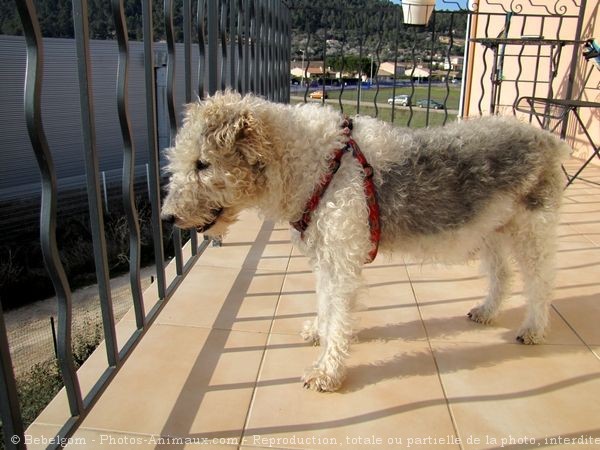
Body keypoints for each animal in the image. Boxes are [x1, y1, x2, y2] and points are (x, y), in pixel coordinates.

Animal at [162, 90, 568, 390]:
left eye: (202, 163)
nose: (168, 218)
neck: (313, 164)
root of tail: (549, 139)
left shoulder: (342, 258)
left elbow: (340, 316)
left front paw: (326, 372)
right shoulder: (326, 256)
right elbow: (325, 304)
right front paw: (318, 332)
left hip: (532, 228)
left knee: (541, 283)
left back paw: (533, 330)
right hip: (491, 228)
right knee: (503, 275)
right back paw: (486, 311)